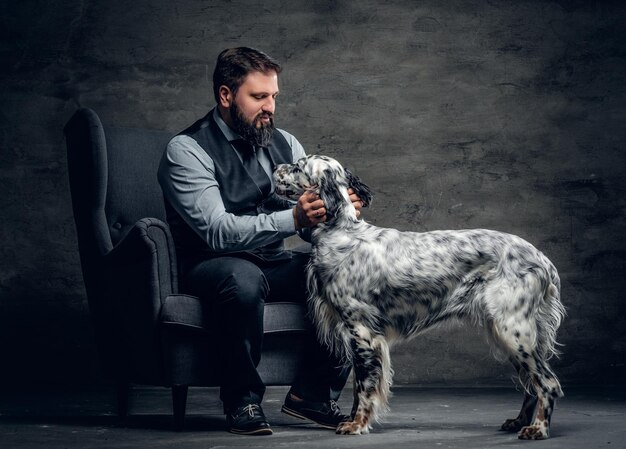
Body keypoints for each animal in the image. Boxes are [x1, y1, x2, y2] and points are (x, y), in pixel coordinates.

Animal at [272, 154, 564, 438]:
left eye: (298, 166)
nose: (275, 167)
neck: (341, 232)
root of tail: (543, 259)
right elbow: (358, 387)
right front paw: (354, 420)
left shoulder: (362, 332)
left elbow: (364, 387)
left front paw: (356, 425)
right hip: (510, 334)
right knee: (531, 384)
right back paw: (518, 422)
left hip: (512, 330)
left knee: (547, 383)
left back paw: (538, 429)